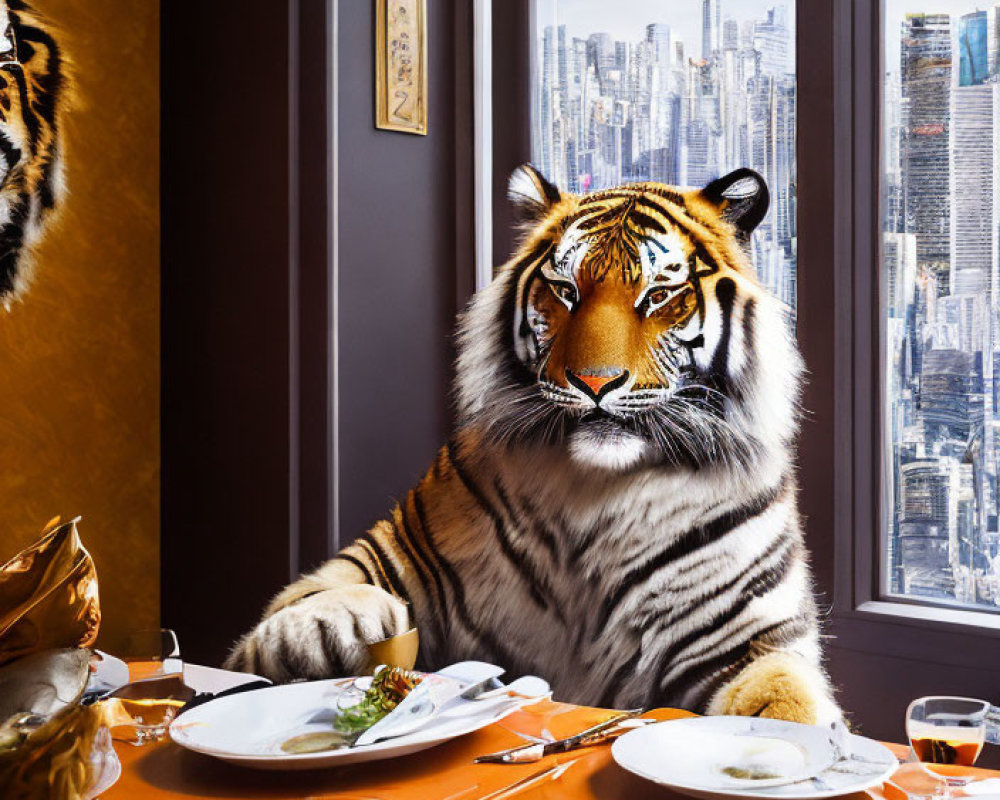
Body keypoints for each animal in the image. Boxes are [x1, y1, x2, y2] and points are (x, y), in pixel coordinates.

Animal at [227, 166, 844, 720]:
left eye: (657, 295)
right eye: (566, 291)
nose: (595, 382)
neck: (598, 489)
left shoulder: (744, 638)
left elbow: (785, 701)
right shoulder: (393, 553)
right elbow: (309, 599)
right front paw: (337, 627)